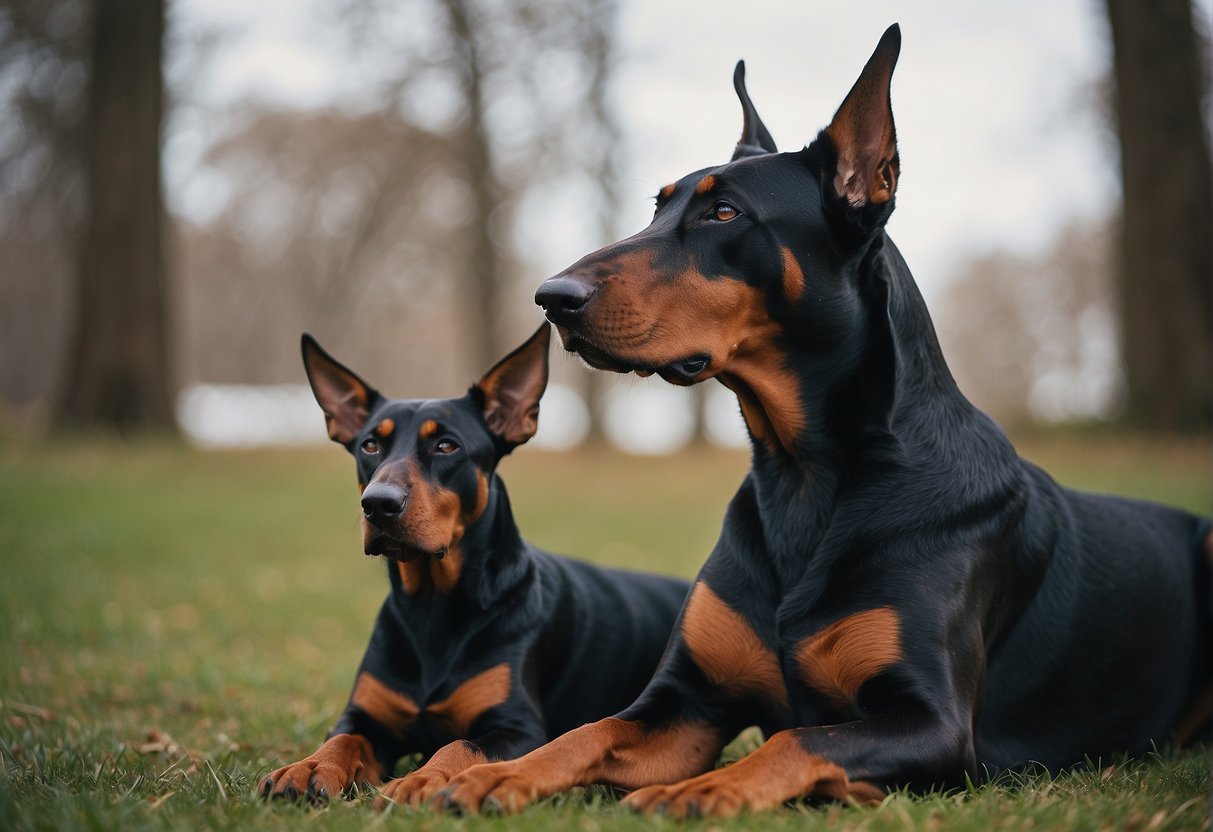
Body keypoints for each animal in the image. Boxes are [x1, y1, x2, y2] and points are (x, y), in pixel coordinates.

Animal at [259, 325, 688, 810]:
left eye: (447, 445)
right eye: (370, 444)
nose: (378, 504)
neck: (433, 607)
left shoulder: (520, 728)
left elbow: (459, 745)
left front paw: (421, 779)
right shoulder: (364, 716)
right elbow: (342, 738)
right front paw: (308, 766)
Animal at [436, 22, 1213, 819]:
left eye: (724, 213)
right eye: (655, 206)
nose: (551, 297)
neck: (801, 475)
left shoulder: (933, 723)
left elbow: (796, 738)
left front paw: (705, 788)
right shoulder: (685, 702)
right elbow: (588, 731)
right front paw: (494, 771)